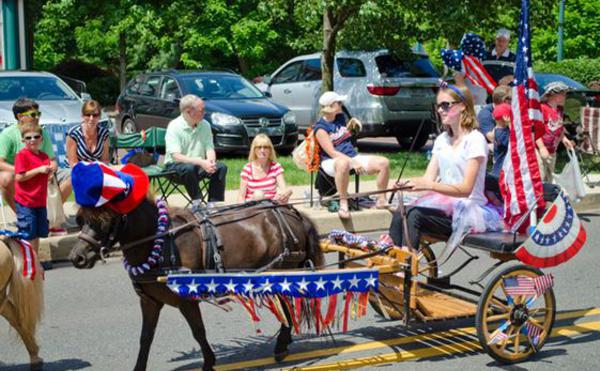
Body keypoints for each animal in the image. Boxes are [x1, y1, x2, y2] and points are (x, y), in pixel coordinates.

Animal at [68, 201, 324, 371]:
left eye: (105, 221)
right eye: (80, 220)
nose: (77, 257)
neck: (158, 241)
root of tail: (293, 213)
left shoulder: (186, 300)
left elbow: (198, 332)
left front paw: (209, 362)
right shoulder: (149, 301)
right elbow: (145, 337)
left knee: (287, 308)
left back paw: (281, 346)